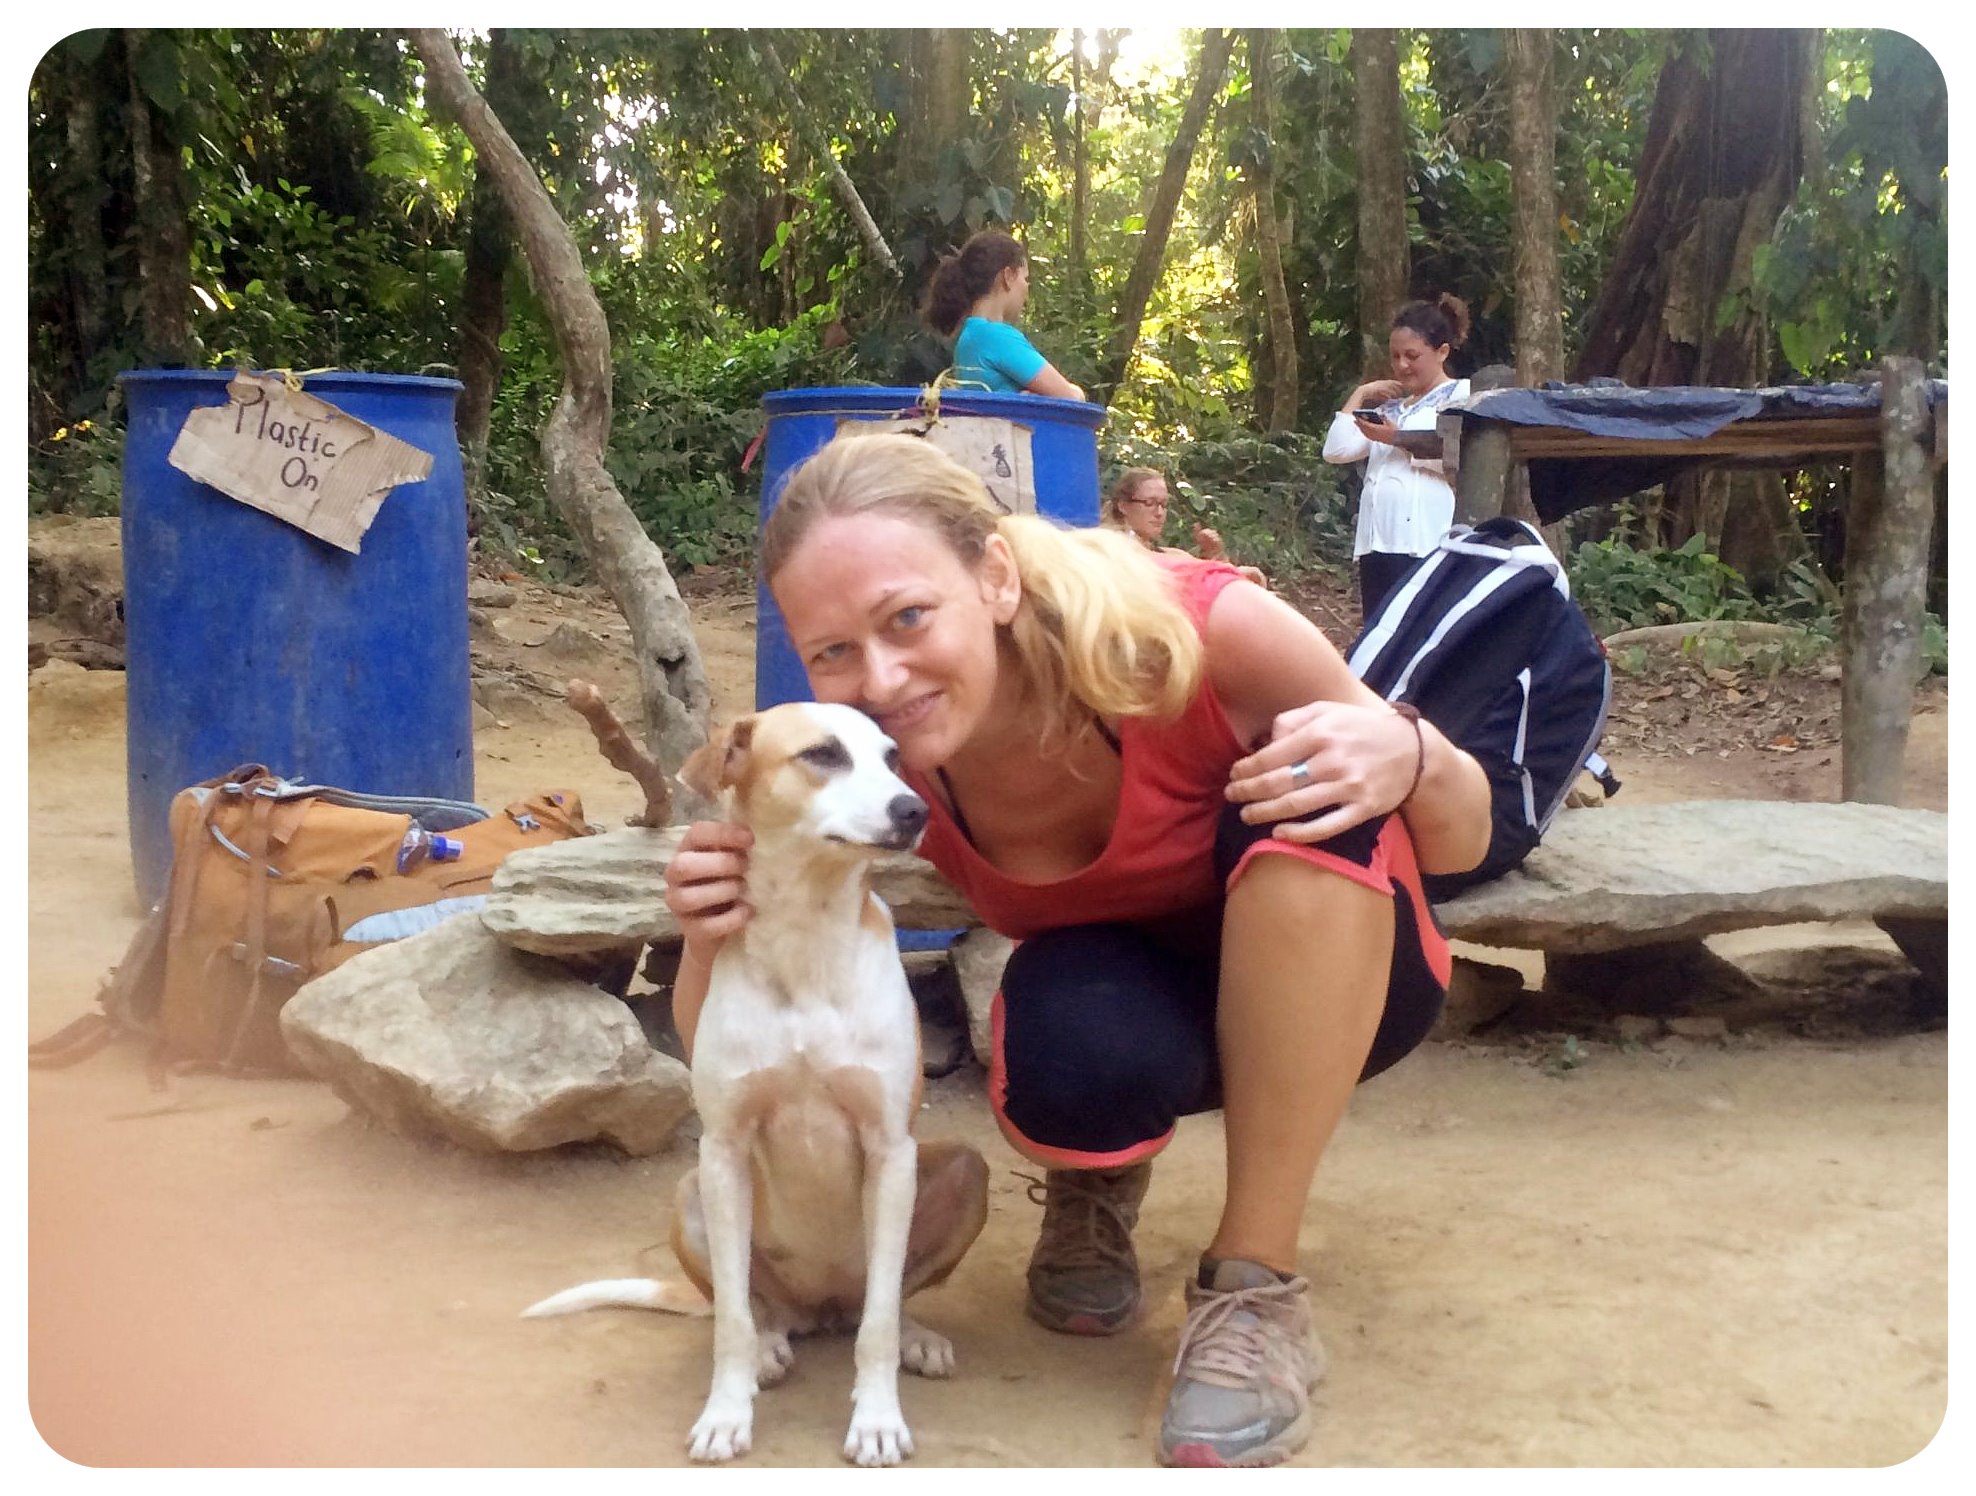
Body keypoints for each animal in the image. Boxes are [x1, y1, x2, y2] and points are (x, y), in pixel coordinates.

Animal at [525, 707, 988, 1462]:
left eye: (892, 758)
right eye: (823, 754)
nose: (913, 810)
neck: (805, 938)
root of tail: (821, 1307)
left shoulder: (891, 1150)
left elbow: (880, 1324)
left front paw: (878, 1420)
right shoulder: (724, 1150)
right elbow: (732, 1323)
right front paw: (726, 1413)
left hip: (963, 1172)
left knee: (881, 1303)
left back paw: (915, 1338)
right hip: (691, 1195)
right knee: (749, 1306)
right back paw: (772, 1344)